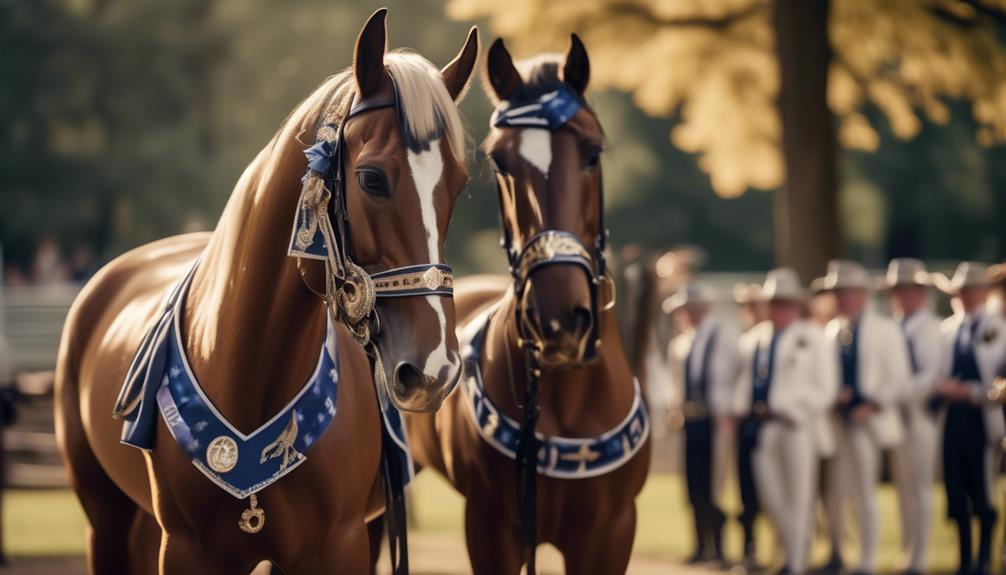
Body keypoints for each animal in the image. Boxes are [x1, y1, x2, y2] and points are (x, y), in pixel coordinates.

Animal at [55, 10, 478, 575]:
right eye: (371, 178)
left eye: (458, 185)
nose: (434, 371)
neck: (245, 370)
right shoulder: (183, 549)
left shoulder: (338, 546)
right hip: (107, 524)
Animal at [406, 36, 651, 575]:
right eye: (500, 162)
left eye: (592, 154)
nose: (559, 322)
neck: (563, 401)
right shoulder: (492, 528)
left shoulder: (610, 535)